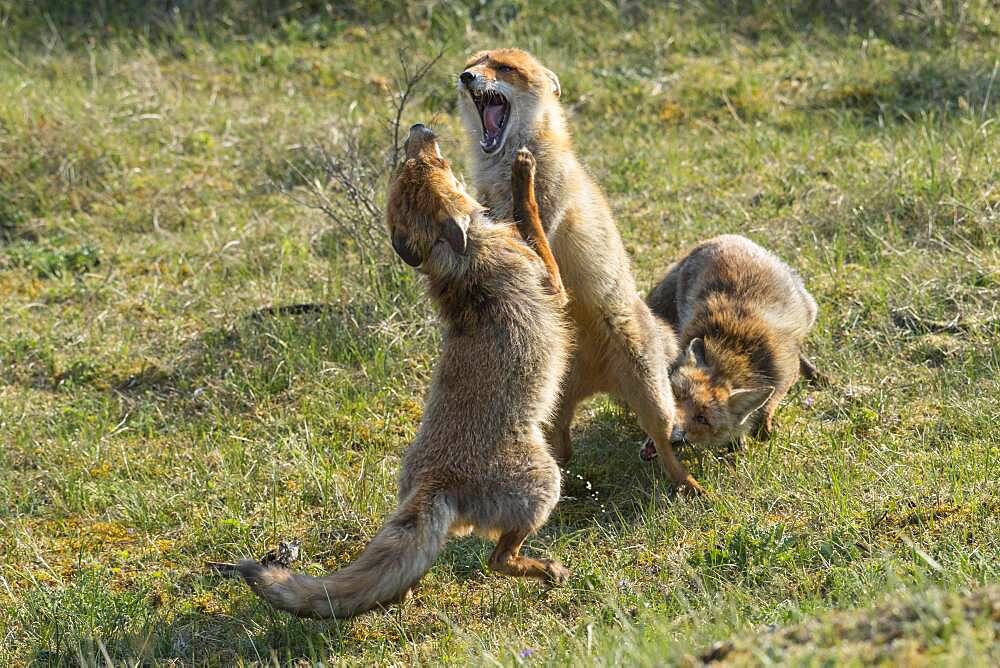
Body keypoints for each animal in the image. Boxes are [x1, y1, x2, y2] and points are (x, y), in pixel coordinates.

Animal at [229, 128, 572, 620]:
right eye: (437, 165)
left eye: (409, 166)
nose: (420, 130)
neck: (457, 264)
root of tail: (434, 479)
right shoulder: (552, 282)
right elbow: (532, 219)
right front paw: (521, 172)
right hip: (545, 483)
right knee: (497, 559)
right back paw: (546, 571)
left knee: (415, 569)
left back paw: (403, 595)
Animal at [458, 48, 700, 496]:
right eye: (473, 62)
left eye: (504, 68)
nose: (465, 77)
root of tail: (598, 381)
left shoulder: (545, 231)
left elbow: (531, 220)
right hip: (552, 411)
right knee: (563, 451)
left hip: (654, 400)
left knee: (668, 438)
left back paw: (689, 485)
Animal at [644, 232, 816, 452]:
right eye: (675, 395)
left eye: (702, 419)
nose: (665, 427)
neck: (731, 351)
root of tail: (725, 237)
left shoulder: (784, 374)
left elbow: (769, 405)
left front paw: (756, 432)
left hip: (811, 311)